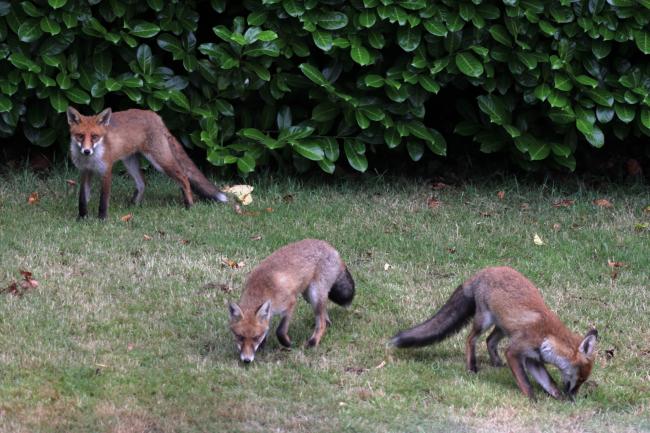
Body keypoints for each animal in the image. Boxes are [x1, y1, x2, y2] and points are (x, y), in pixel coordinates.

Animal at [66, 106, 227, 219]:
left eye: (94, 136)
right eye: (80, 136)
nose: (87, 151)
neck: (90, 160)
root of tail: (155, 116)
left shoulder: (106, 171)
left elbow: (103, 200)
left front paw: (102, 219)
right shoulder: (85, 172)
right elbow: (82, 199)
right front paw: (82, 218)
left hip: (160, 161)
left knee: (184, 177)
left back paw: (189, 205)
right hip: (130, 162)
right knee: (142, 182)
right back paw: (133, 206)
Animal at [389, 266, 598, 401]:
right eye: (580, 379)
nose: (573, 398)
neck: (548, 337)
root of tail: (483, 271)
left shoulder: (533, 359)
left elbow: (549, 382)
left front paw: (557, 397)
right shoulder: (515, 351)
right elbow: (526, 382)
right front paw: (532, 400)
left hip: (503, 328)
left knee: (489, 340)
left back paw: (496, 363)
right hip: (484, 321)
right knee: (470, 339)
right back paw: (471, 367)